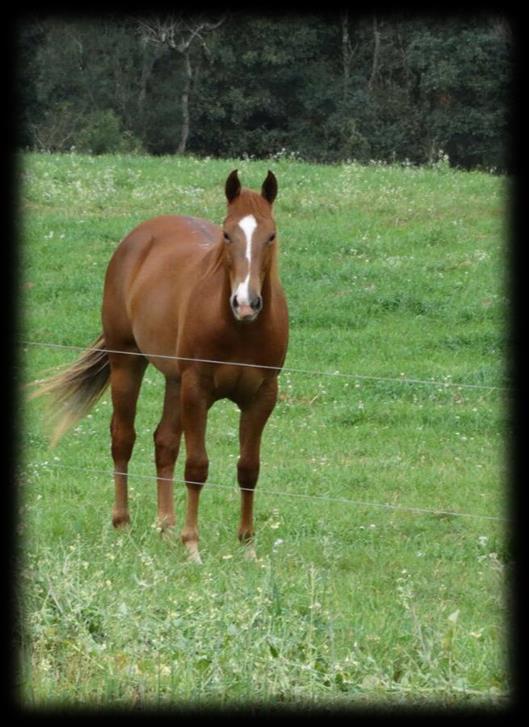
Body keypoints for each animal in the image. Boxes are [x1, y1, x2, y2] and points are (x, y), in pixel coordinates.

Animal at [34, 171, 288, 564]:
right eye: (227, 234)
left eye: (271, 235)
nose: (246, 303)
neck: (239, 329)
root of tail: (140, 236)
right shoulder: (197, 389)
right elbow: (197, 467)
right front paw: (192, 545)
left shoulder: (263, 396)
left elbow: (249, 468)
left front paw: (247, 546)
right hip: (128, 363)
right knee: (123, 438)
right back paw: (123, 523)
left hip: (173, 381)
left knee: (164, 443)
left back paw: (166, 527)